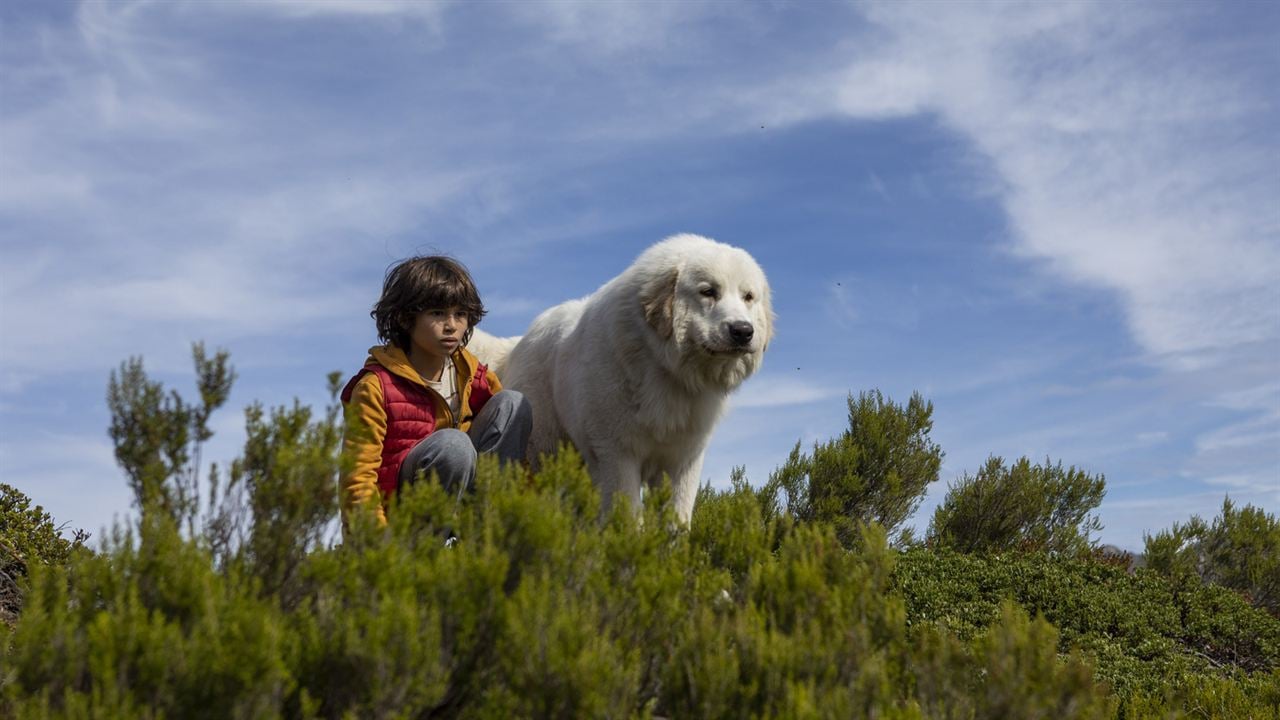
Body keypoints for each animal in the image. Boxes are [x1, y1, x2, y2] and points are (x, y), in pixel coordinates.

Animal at [468, 235, 768, 520]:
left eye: (748, 297)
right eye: (708, 292)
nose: (743, 331)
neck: (664, 367)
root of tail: (517, 343)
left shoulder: (682, 462)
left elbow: (677, 519)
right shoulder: (618, 454)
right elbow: (629, 516)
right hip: (543, 449)